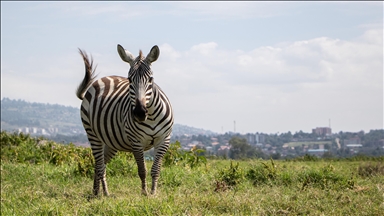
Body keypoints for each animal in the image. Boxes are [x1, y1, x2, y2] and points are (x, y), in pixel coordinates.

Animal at [76, 44, 174, 197]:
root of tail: (102, 79)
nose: (139, 113)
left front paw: (153, 193)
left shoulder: (164, 140)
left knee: (100, 164)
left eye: (151, 79)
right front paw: (144, 193)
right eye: (129, 80)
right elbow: (142, 170)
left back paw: (96, 192)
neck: (151, 116)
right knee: (100, 165)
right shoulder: (136, 142)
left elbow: (156, 170)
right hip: (92, 134)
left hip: (111, 141)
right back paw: (104, 193)